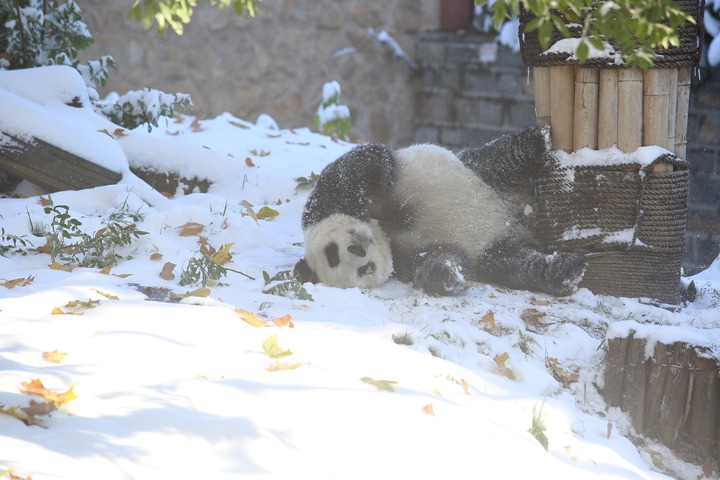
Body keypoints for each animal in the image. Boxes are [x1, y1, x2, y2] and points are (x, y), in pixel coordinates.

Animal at [294, 126, 587, 296]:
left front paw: (375, 187)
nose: (359, 249)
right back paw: (566, 272)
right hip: (495, 251)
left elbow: (360, 164)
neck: (386, 232)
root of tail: (519, 220)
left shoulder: (326, 205)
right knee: (514, 264)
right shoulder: (405, 259)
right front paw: (444, 273)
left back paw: (536, 141)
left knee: (497, 158)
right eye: (365, 270)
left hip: (481, 175)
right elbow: (444, 260)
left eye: (332, 252)